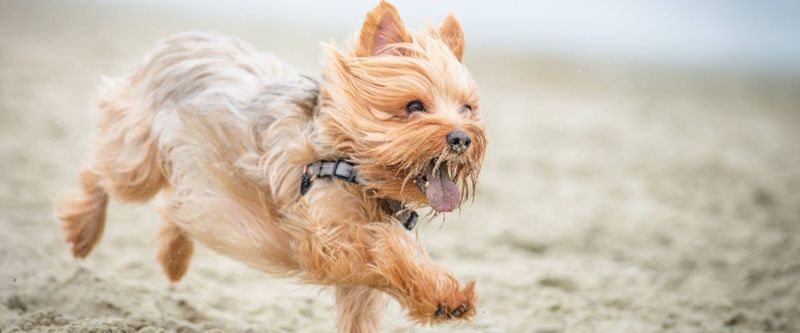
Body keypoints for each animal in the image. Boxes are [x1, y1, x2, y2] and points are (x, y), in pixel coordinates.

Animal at [56, 1, 484, 330]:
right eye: (414, 106)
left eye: (466, 108)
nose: (461, 139)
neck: (348, 162)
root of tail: (183, 38)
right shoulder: (324, 235)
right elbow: (387, 245)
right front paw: (444, 297)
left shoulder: (355, 282)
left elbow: (366, 300)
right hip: (138, 156)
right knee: (100, 173)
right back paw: (83, 230)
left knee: (179, 206)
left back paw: (173, 257)